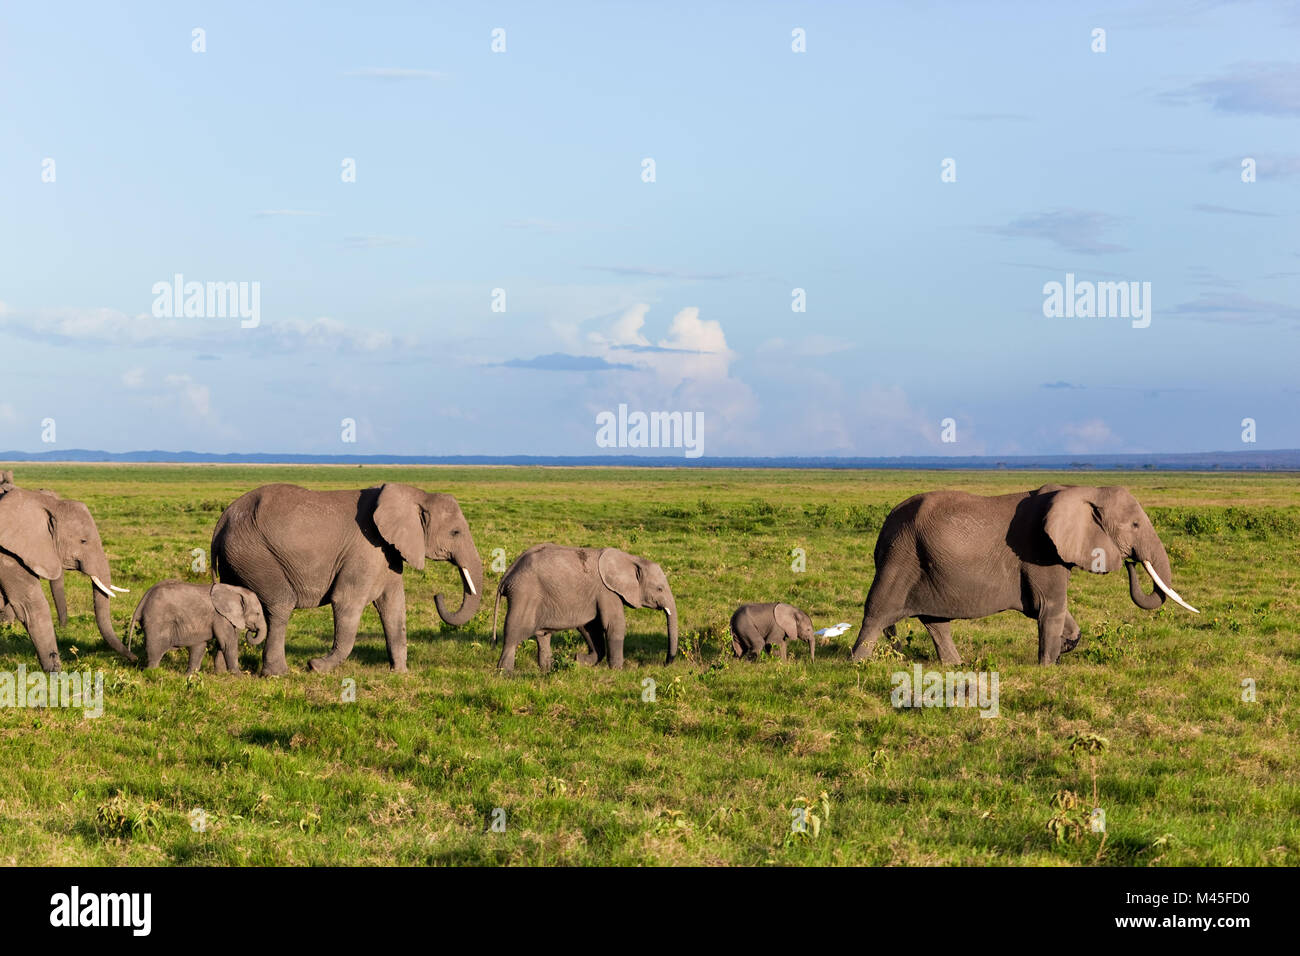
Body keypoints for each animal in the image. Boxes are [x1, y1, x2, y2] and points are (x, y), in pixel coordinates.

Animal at [128, 580, 267, 676]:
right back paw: (151, 673)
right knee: (156, 649)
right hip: (157, 619)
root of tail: (143, 599)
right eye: (257, 613)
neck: (235, 590)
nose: (252, 631)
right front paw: (240, 677)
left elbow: (213, 645)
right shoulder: (220, 616)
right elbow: (228, 643)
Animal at [211, 481, 483, 676]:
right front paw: (317, 667)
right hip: (254, 553)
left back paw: (224, 673)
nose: (439, 595)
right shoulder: (366, 550)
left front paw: (400, 673)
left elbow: (394, 607)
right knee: (281, 604)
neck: (415, 493)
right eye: (455, 532)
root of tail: (223, 520)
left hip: (237, 556)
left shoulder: (387, 552)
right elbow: (346, 602)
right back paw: (278, 674)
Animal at [852, 486, 1196, 665]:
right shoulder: (1041, 550)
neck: (1082, 490)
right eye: (1135, 525)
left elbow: (1051, 610)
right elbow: (1049, 608)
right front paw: (1047, 667)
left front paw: (1065, 646)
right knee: (878, 612)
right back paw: (858, 663)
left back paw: (956, 665)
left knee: (935, 621)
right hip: (901, 556)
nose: (1131, 562)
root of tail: (885, 525)